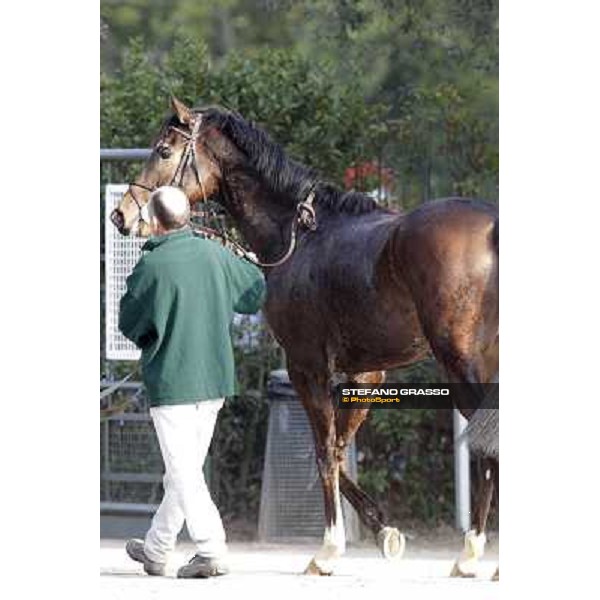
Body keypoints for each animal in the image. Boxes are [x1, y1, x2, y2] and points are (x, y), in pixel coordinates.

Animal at [110, 98, 500, 576]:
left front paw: (328, 549)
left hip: (461, 364)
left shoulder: (306, 367)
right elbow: (338, 447)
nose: (122, 215)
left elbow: (323, 451)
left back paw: (470, 553)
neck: (301, 235)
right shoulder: (364, 374)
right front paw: (382, 529)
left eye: (164, 150)